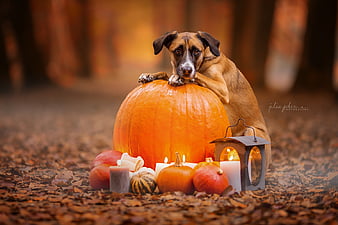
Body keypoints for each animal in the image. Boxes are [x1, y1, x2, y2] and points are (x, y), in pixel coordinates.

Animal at [139, 31, 270, 169]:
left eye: (197, 51)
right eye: (178, 51)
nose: (186, 70)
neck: (203, 61)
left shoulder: (222, 88)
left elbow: (197, 76)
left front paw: (179, 78)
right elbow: (166, 73)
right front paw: (150, 75)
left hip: (250, 132)